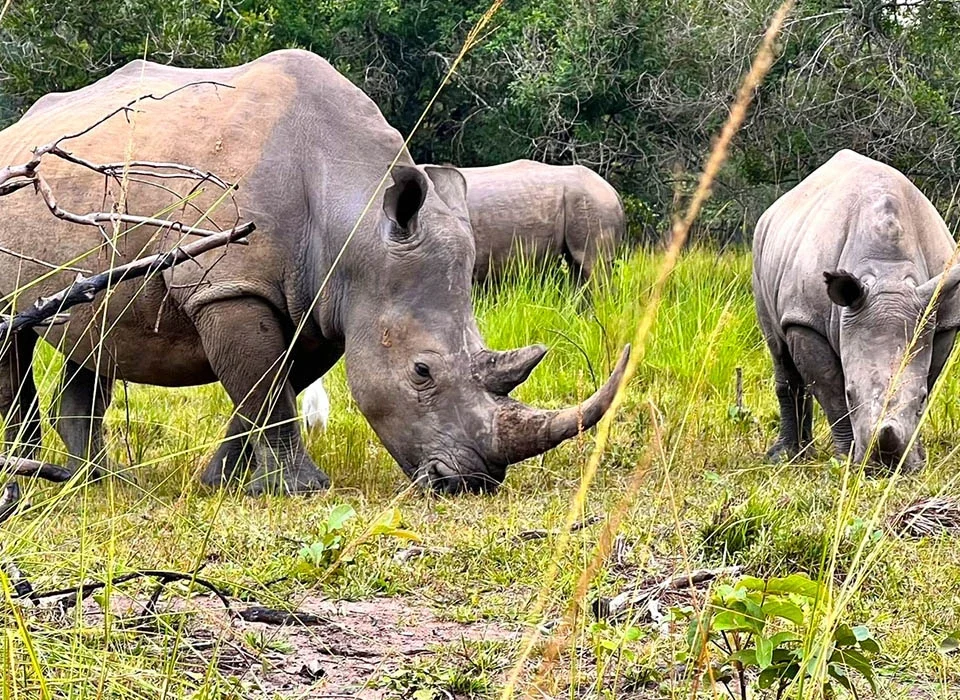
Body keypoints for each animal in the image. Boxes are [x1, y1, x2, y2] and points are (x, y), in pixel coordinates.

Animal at [753, 149, 960, 472]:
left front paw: (918, 458)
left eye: (922, 400)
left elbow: (929, 374)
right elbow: (830, 390)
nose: (886, 466)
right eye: (852, 395)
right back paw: (787, 457)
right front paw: (846, 459)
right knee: (779, 349)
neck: (889, 273)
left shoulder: (943, 319)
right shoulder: (806, 319)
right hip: (761, 248)